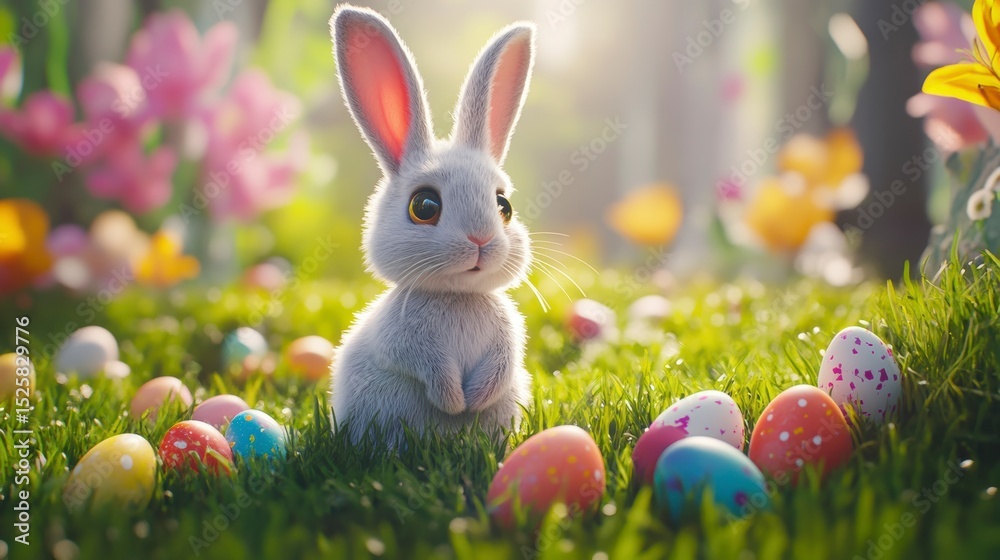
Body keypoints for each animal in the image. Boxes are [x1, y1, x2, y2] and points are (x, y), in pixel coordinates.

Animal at [328, 5, 536, 445]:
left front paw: (475, 400)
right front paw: (455, 402)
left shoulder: (508, 338)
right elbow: (428, 367)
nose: (480, 239)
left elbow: (503, 362)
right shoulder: (403, 340)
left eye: (504, 205)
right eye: (424, 206)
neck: (456, 296)